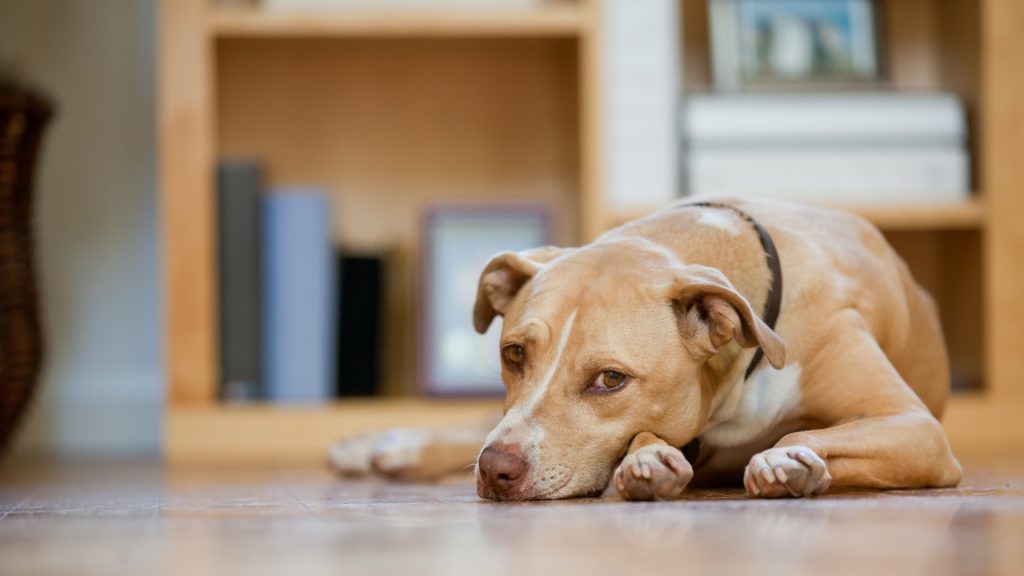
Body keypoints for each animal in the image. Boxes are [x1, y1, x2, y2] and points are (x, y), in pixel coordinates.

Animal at [327, 195, 958, 498]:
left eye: (610, 380)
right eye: (513, 354)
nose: (495, 470)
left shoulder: (917, 428)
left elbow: (802, 435)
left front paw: (789, 461)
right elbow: (648, 435)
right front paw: (648, 459)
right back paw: (384, 447)